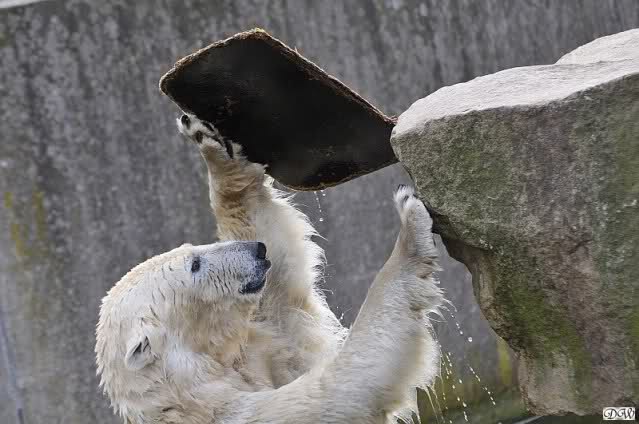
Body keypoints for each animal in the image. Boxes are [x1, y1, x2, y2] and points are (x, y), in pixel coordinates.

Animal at [95, 113, 443, 424]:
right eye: (195, 265)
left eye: (192, 249)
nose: (257, 251)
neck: (186, 391)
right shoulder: (239, 413)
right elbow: (332, 393)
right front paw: (409, 231)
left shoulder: (256, 353)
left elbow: (283, 306)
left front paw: (210, 143)